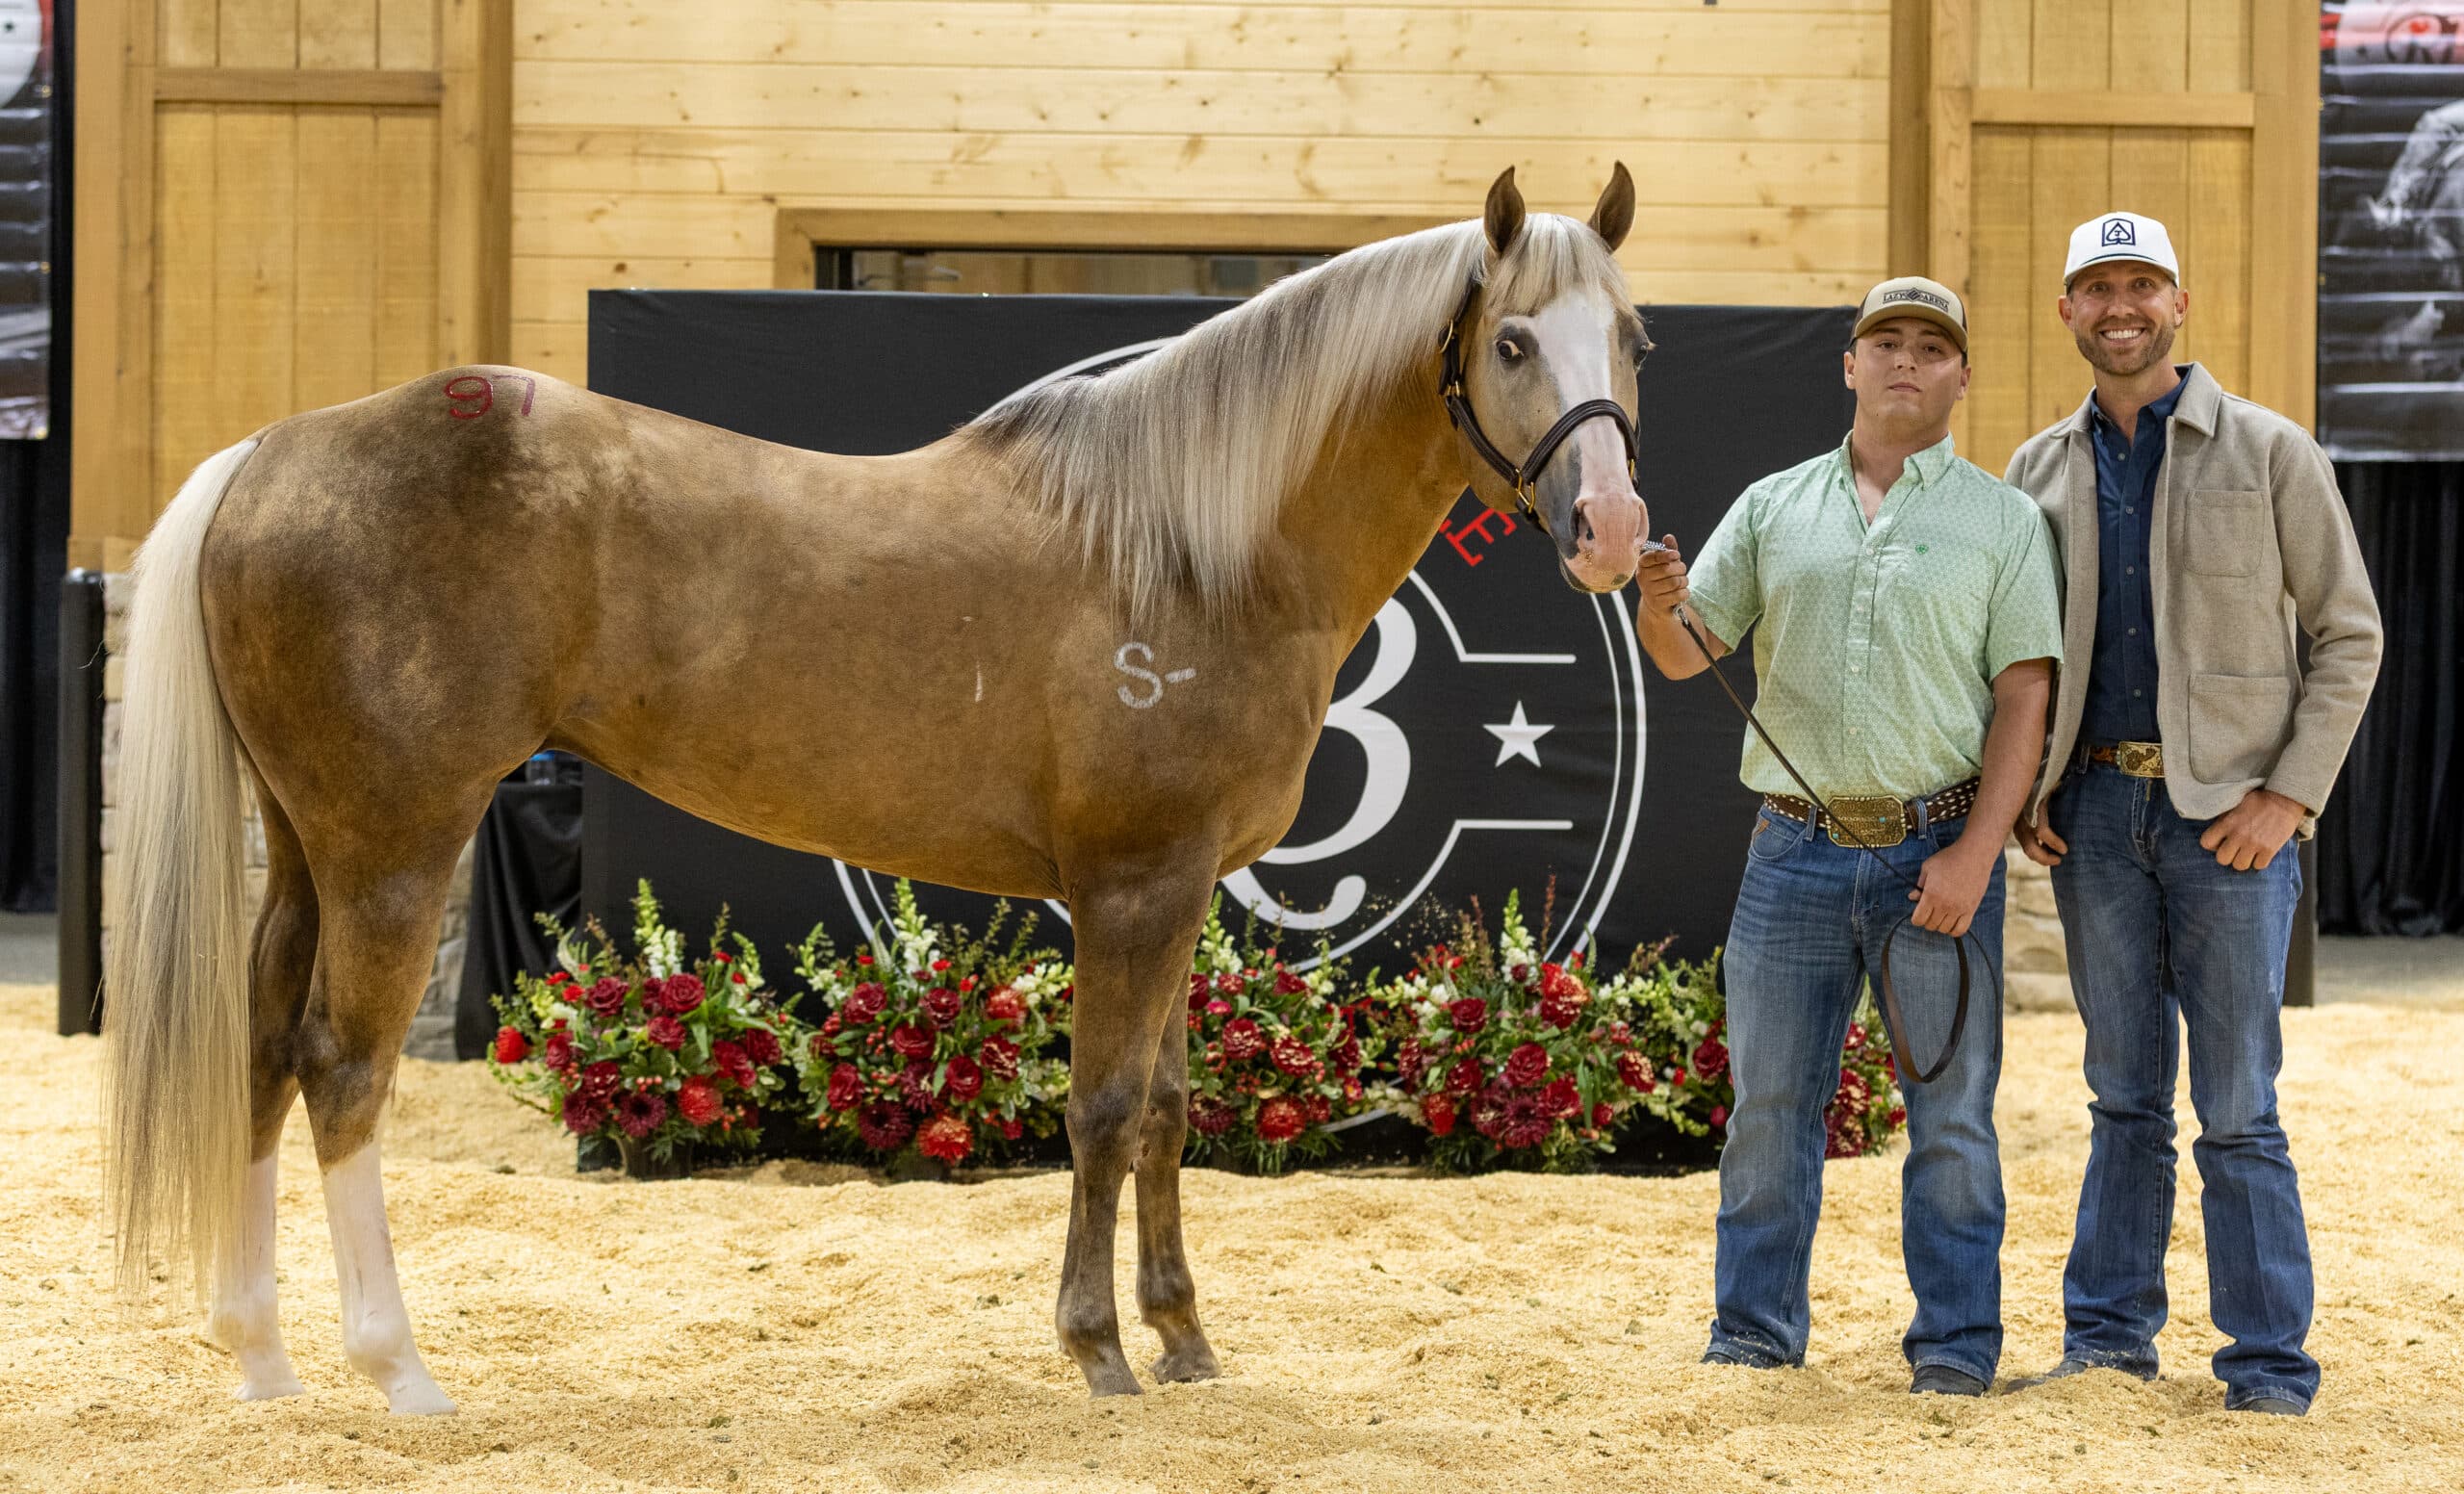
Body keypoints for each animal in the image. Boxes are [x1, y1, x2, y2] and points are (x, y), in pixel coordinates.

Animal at [101, 166, 1653, 1409]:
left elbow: (1165, 1104)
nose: (1610, 526)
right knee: (341, 1070)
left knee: (260, 1050)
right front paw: (1099, 1351)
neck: (1190, 552)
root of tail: (268, 454)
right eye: (1512, 338)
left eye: (1633, 338)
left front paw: (1185, 1342)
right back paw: (397, 1370)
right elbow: (1102, 1109)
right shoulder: (1131, 889)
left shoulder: (1181, 892)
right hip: (396, 847)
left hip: (307, 848)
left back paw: (263, 1360)